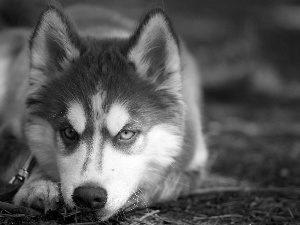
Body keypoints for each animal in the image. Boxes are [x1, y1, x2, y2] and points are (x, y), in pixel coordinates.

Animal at [0, 3, 206, 221]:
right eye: (69, 132)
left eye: (127, 133)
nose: (88, 196)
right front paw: (39, 185)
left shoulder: (194, 161)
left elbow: (167, 180)